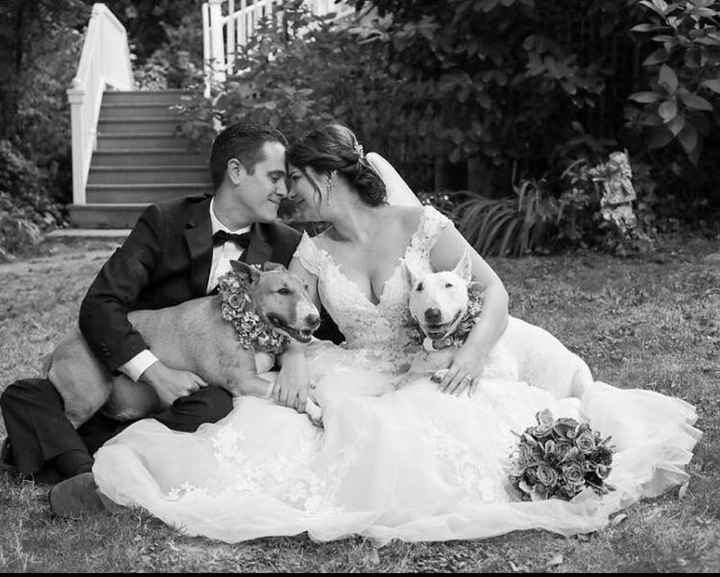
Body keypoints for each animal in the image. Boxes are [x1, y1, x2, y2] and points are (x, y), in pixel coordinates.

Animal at [45, 260, 324, 428]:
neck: (246, 320)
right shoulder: (244, 381)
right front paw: (314, 409)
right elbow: (277, 386)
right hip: (86, 399)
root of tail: (59, 348)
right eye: (283, 291)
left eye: (306, 287)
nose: (316, 319)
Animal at [408, 250, 592, 398]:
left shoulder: (505, 369)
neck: (453, 341)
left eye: (449, 285)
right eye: (419, 288)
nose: (432, 313)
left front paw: (444, 373)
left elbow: (479, 370)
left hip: (582, 380)